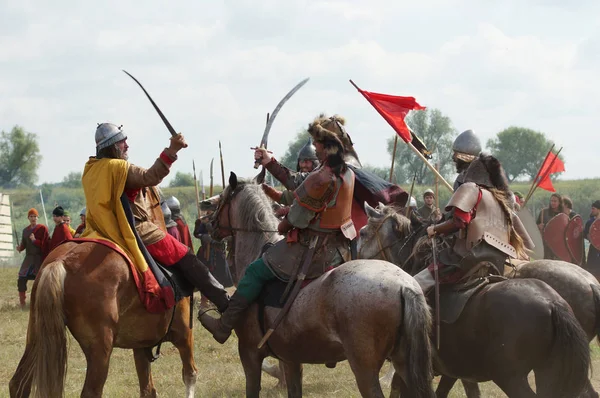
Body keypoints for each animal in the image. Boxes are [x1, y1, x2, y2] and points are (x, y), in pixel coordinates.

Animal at [9, 241, 197, 396]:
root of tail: (63, 261)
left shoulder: (141, 345)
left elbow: (148, 389)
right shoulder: (183, 334)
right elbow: (190, 374)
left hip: (38, 336)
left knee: (18, 384)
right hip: (100, 349)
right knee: (92, 391)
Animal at [210, 173, 436, 398]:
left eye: (222, 199)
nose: (210, 226)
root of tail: (405, 285)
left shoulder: (250, 353)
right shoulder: (291, 359)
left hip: (365, 369)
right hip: (404, 362)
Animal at [356, 204, 592, 396]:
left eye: (363, 232)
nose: (356, 262)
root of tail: (553, 303)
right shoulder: (455, 370)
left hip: (510, 377)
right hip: (550, 370)